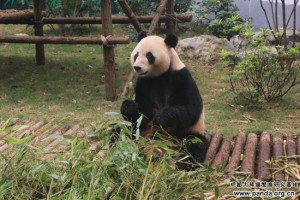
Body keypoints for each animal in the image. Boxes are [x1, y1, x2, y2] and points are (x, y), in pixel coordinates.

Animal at [119, 30, 209, 162]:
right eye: (136, 55)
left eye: (149, 56)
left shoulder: (181, 77)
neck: (158, 76)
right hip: (141, 130)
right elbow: (143, 111)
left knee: (194, 144)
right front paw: (129, 106)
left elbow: (189, 109)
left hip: (188, 132)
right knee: (122, 131)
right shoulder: (144, 82)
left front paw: (161, 117)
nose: (137, 67)